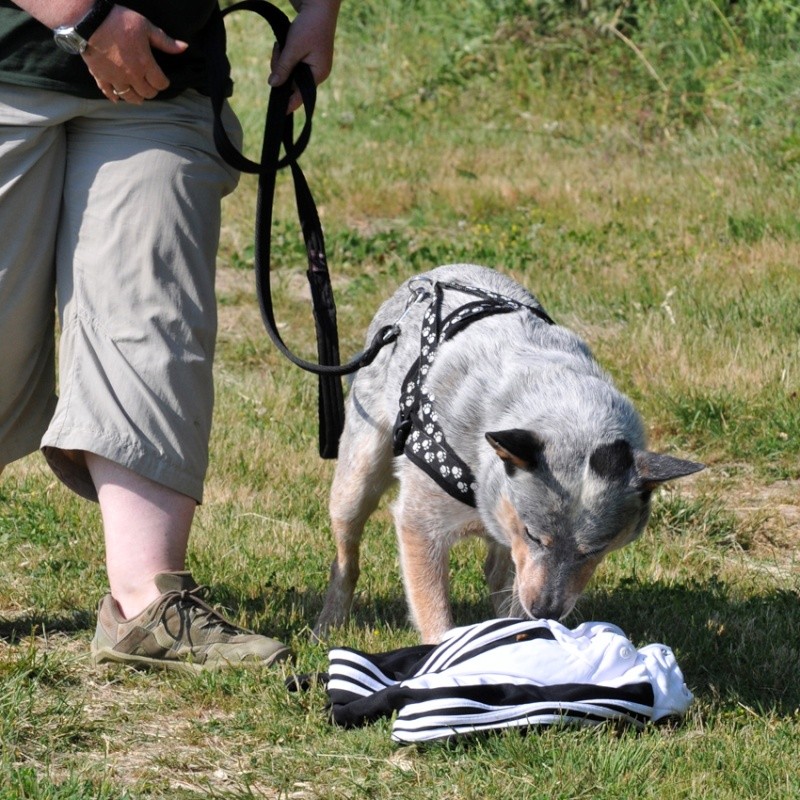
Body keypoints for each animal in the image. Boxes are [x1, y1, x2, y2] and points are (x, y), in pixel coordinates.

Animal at [316, 264, 704, 644]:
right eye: (534, 535)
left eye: (594, 550)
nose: (547, 610)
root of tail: (431, 276)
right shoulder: (422, 524)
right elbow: (435, 611)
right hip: (359, 473)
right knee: (347, 555)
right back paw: (328, 624)